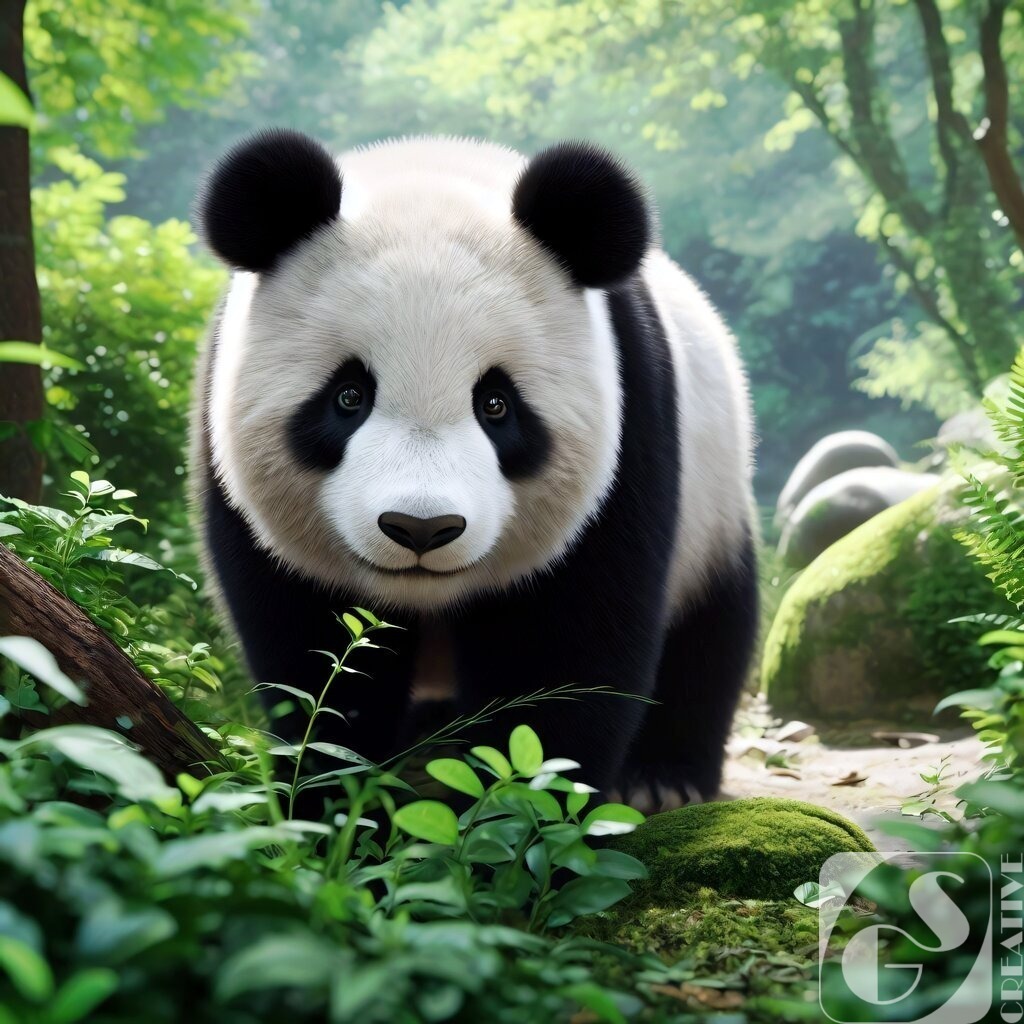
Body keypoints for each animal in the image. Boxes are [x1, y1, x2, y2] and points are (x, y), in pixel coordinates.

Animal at [191, 128, 758, 811]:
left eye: (496, 404)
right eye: (348, 396)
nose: (420, 529)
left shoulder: (630, 429)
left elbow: (565, 649)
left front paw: (514, 809)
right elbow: (314, 655)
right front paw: (331, 797)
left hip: (714, 500)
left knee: (711, 631)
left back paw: (664, 777)